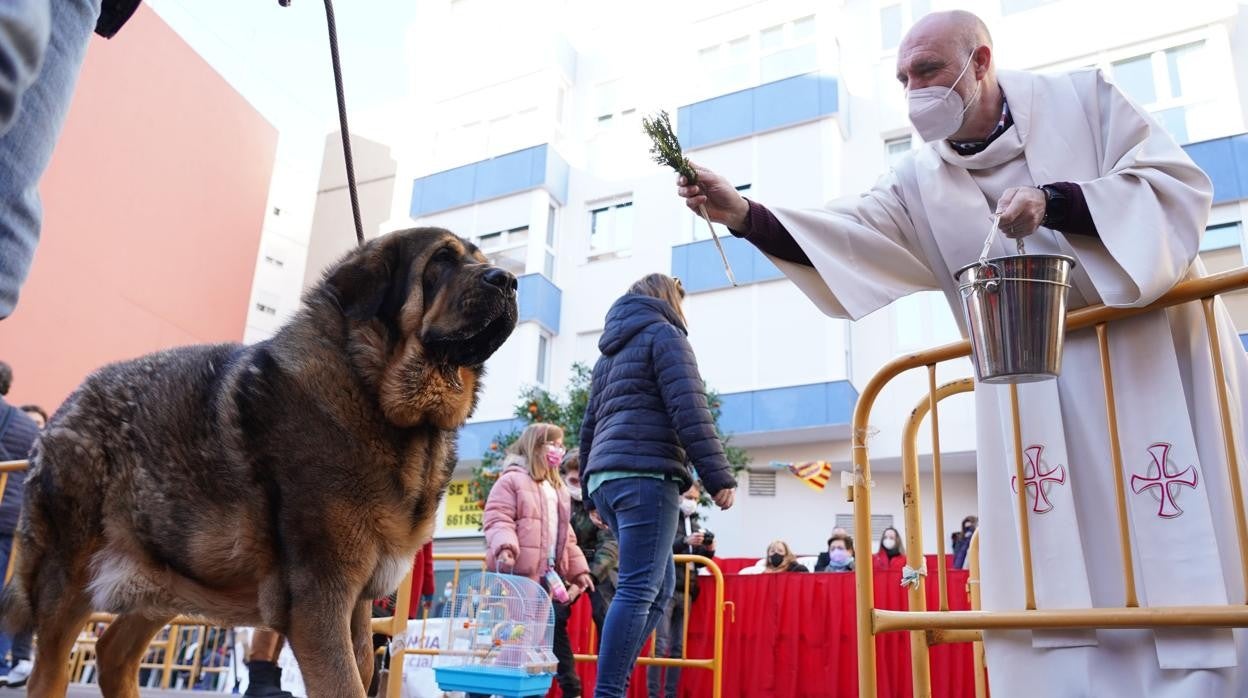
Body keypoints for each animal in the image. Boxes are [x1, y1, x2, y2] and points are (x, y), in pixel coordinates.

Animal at [3, 227, 516, 694]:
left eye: (481, 260)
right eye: (442, 260)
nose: (509, 280)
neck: (371, 390)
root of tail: (66, 407)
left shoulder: (356, 607)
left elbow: (364, 670)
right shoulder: (319, 600)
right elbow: (345, 683)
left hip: (168, 574)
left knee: (113, 652)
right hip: (69, 577)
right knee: (51, 665)